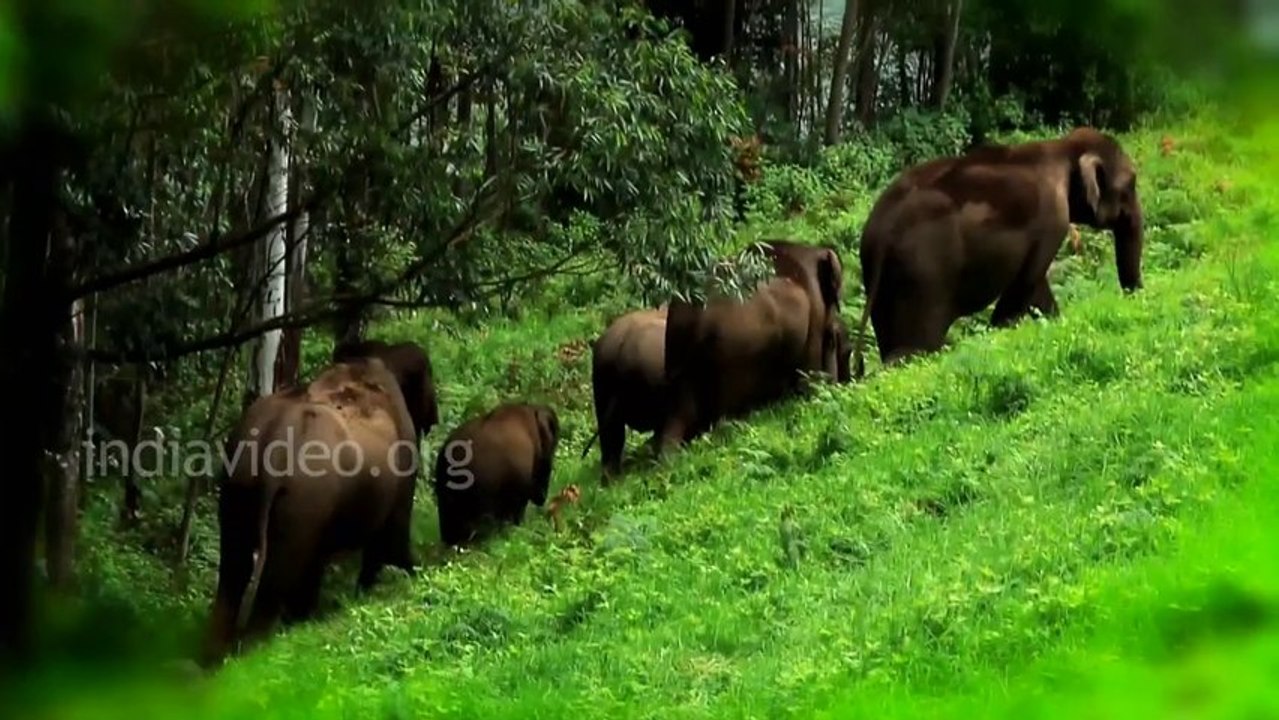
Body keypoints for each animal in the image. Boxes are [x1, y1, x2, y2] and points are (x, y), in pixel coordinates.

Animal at [199, 354, 431, 668]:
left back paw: (212, 661)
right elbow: (391, 536)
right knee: (276, 574)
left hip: (238, 488)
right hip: (304, 497)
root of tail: (273, 440)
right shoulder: (404, 458)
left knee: (234, 568)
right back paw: (255, 654)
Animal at [852, 127, 1143, 375]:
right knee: (914, 351)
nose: (1133, 297)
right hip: (921, 275)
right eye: (1130, 184)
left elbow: (1037, 287)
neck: (1063, 147)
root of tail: (881, 232)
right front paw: (999, 334)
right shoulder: (1052, 217)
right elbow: (1026, 282)